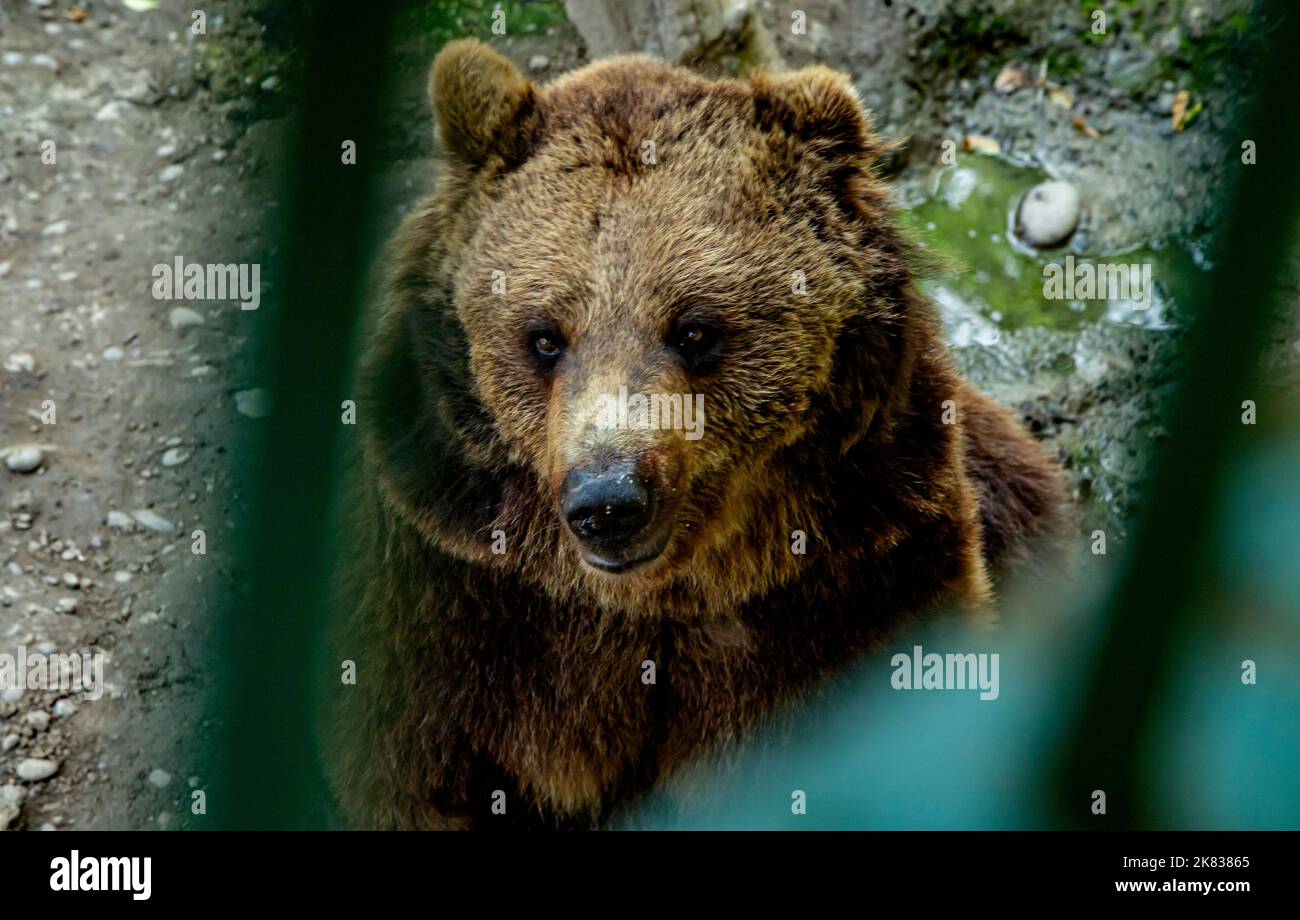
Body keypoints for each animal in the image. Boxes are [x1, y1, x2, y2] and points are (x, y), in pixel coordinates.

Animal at [325, 39, 1066, 831]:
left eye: (694, 328)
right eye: (544, 337)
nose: (609, 501)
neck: (660, 597)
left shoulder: (857, 572)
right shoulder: (451, 600)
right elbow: (418, 777)